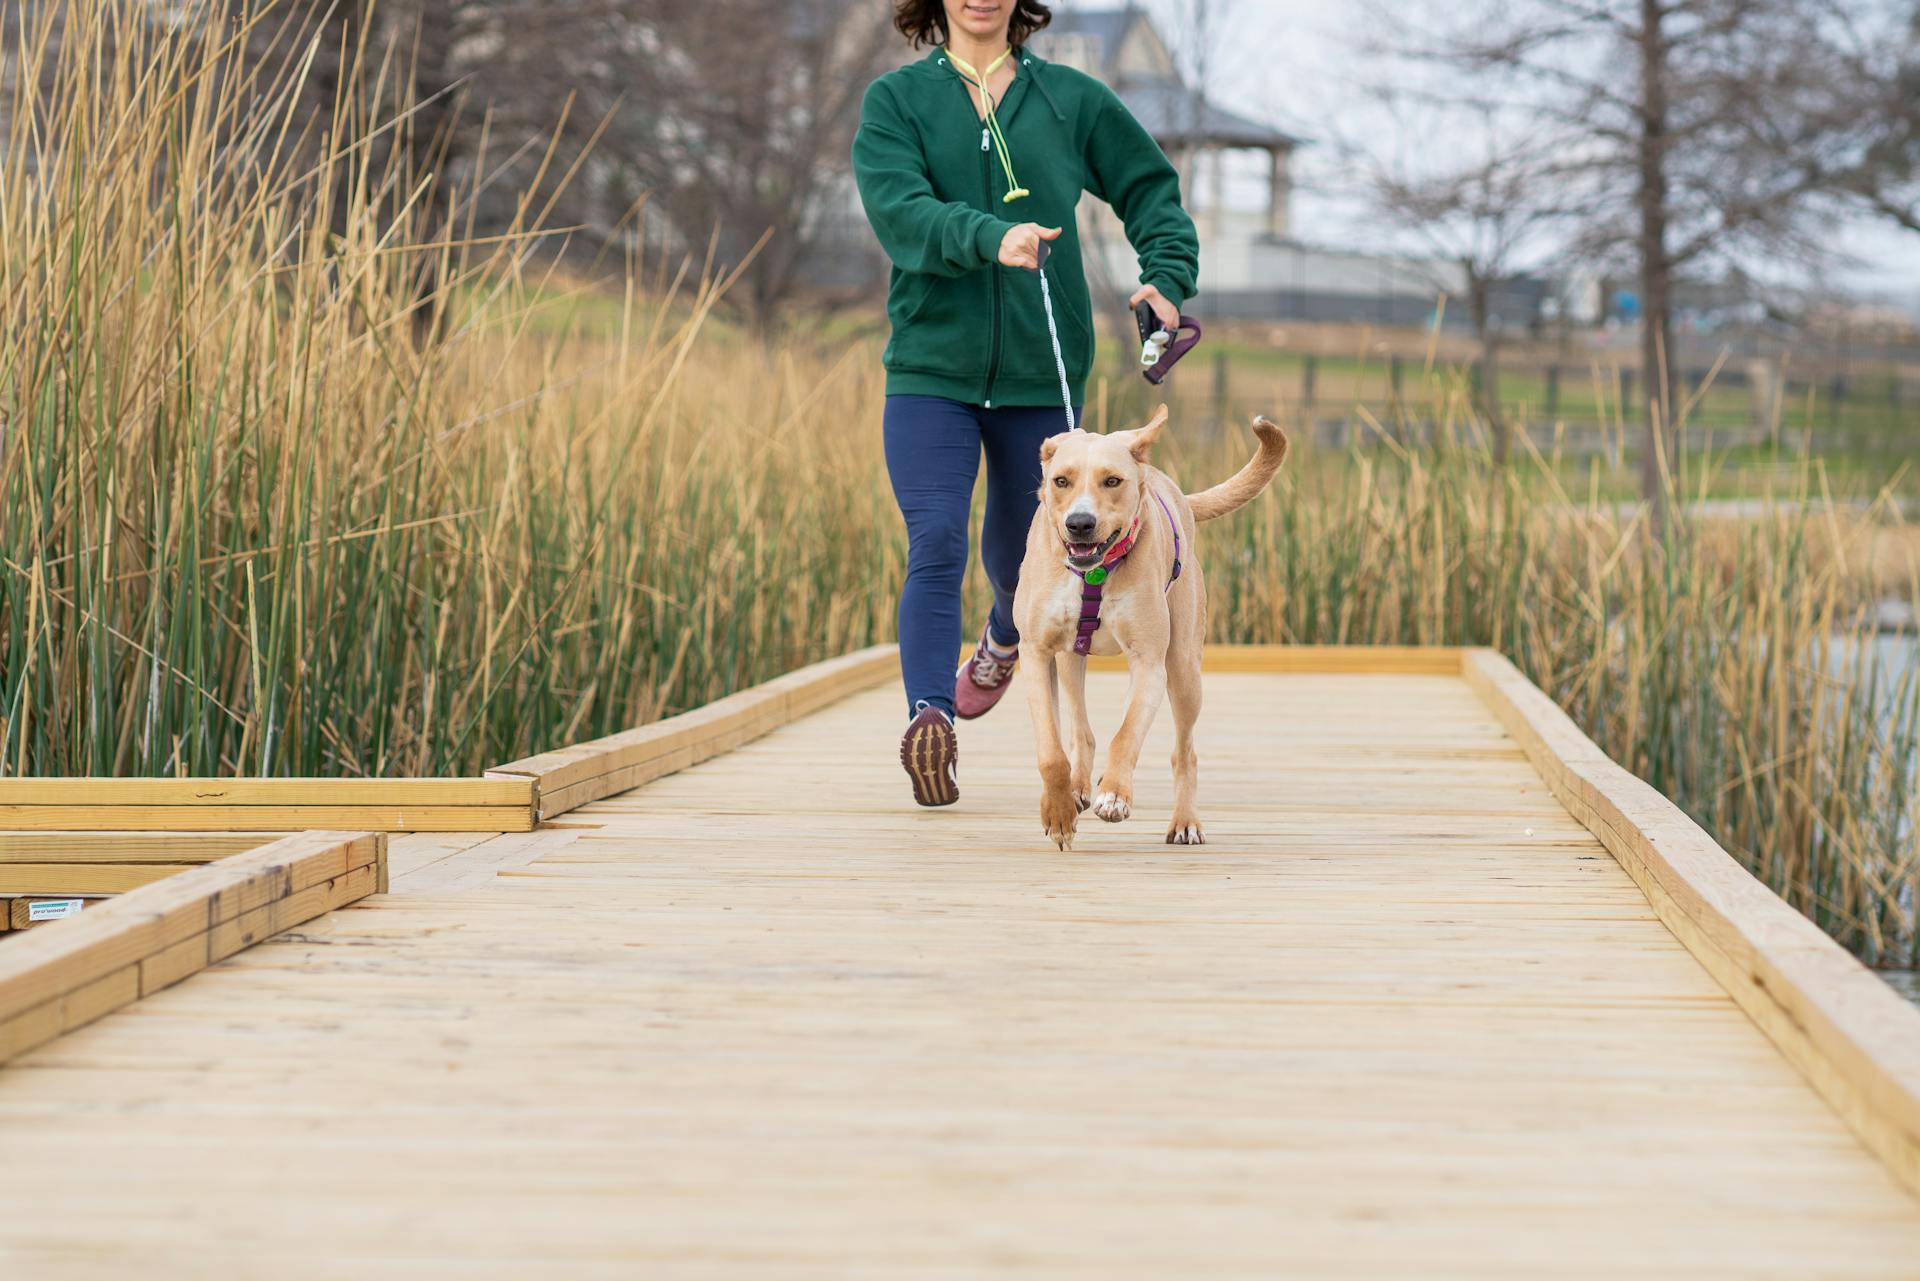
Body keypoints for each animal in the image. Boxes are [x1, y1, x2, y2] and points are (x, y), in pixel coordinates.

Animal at [1006, 410, 1290, 852]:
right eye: (1061, 481)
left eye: (1112, 481)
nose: (1079, 523)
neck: (1096, 572)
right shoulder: (1035, 652)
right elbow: (1051, 751)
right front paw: (1058, 814)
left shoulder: (1150, 662)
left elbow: (1126, 735)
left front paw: (1114, 795)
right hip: (1070, 660)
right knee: (1082, 730)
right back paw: (1078, 787)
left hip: (1184, 671)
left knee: (1183, 752)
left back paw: (1184, 821)